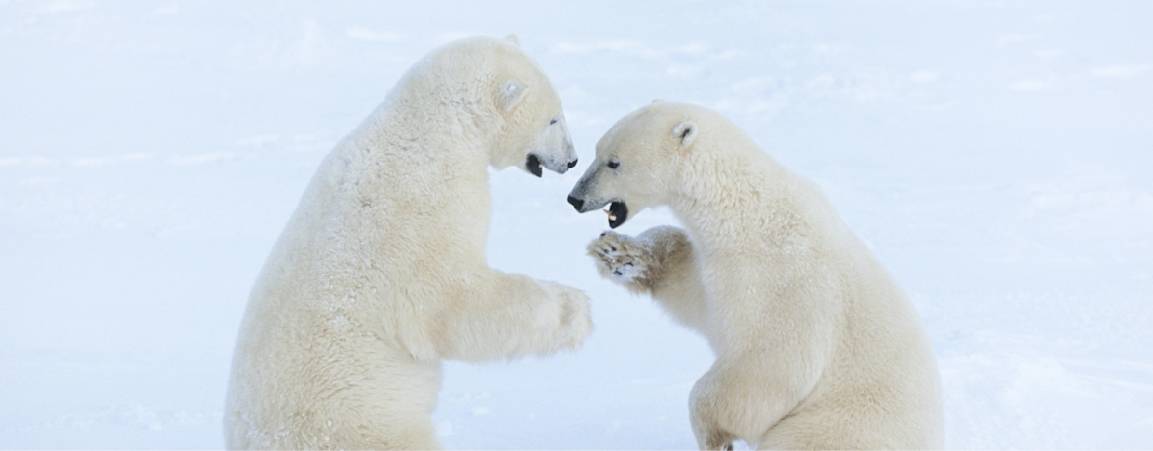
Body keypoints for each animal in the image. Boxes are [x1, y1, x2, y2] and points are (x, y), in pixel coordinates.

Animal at [222, 37, 594, 449]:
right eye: (553, 119)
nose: (572, 160)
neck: (433, 127)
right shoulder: (425, 209)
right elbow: (454, 299)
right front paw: (576, 309)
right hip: (366, 422)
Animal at [562, 100, 940, 449]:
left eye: (614, 162)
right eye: (596, 151)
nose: (574, 198)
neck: (746, 211)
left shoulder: (781, 280)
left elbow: (772, 364)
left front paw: (712, 433)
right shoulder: (720, 266)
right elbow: (694, 296)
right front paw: (618, 254)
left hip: (837, 427)